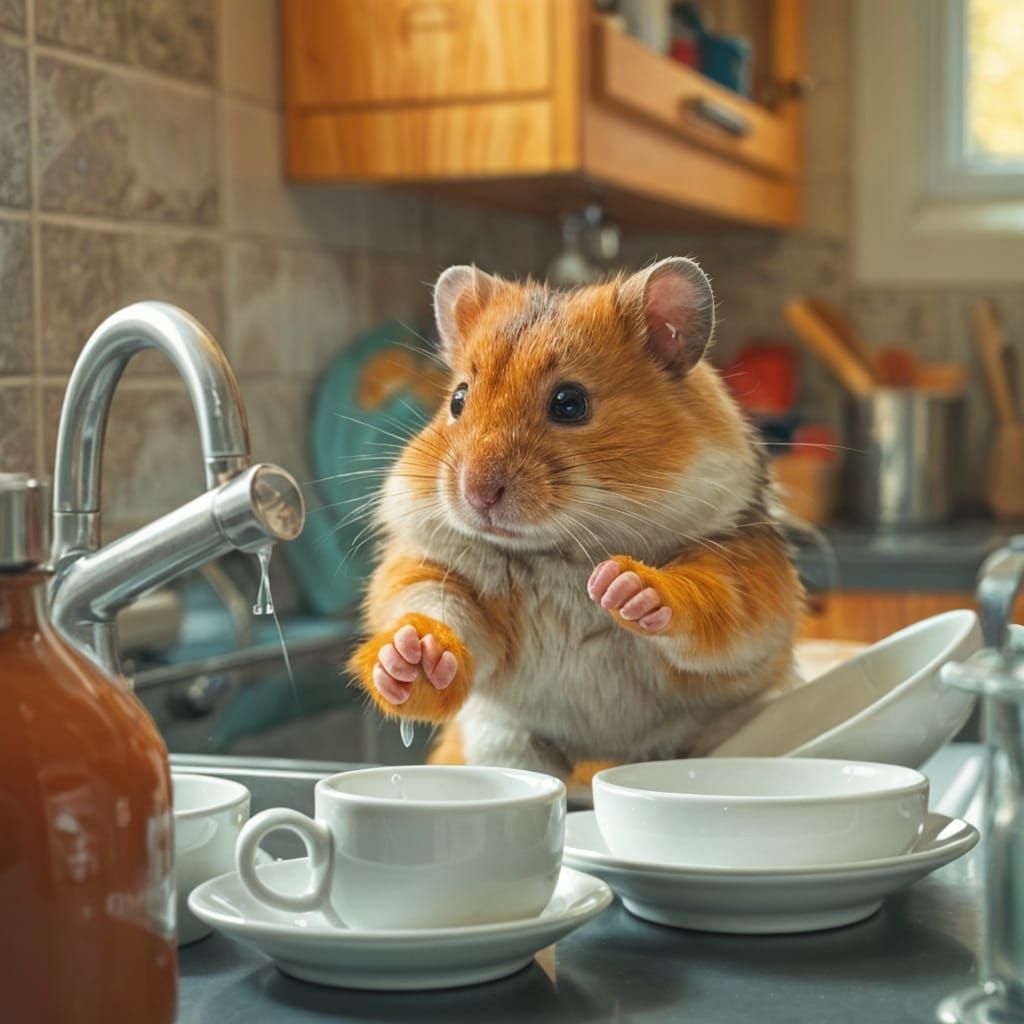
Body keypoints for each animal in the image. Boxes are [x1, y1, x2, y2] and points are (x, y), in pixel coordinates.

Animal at [348, 257, 802, 778]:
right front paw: (409, 657)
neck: (562, 550)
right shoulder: (436, 570)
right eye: (458, 399)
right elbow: (432, 610)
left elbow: (709, 600)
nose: (475, 493)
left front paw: (622, 587)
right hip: (501, 740)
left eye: (570, 403)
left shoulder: (746, 569)